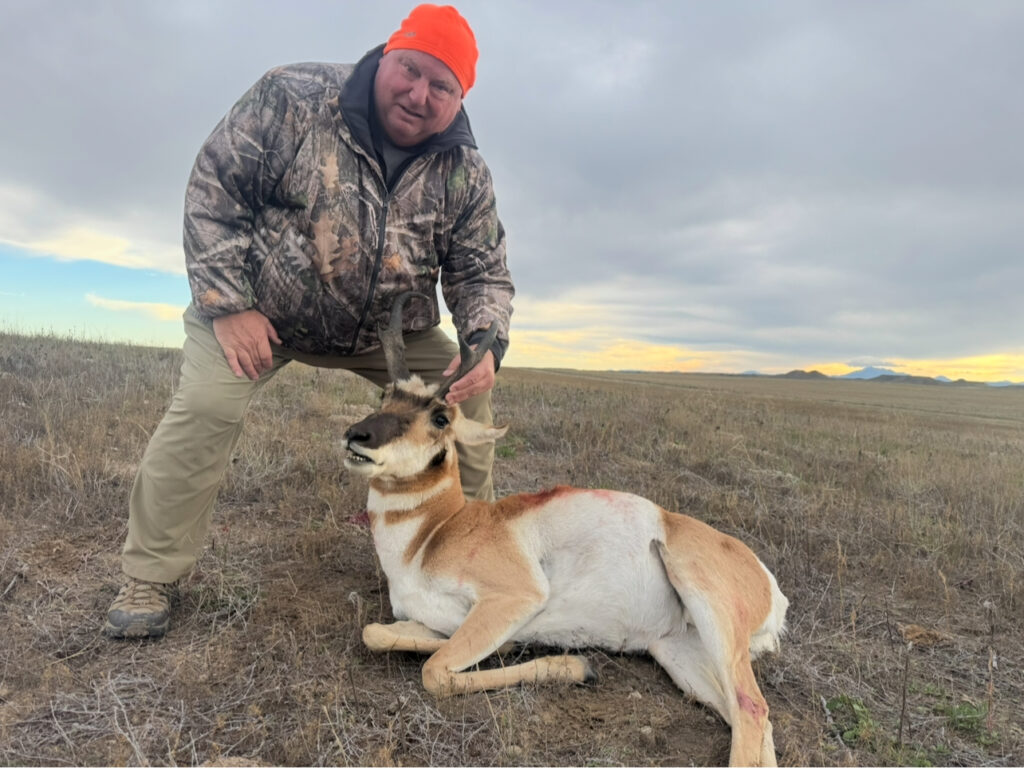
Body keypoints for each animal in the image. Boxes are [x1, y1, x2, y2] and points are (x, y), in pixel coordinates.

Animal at [343, 293, 789, 767]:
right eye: (386, 394)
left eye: (441, 418)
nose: (357, 435)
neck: (436, 532)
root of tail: (767, 583)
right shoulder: (439, 621)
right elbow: (376, 634)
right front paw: (515, 649)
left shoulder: (515, 598)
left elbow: (435, 671)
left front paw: (574, 666)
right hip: (679, 653)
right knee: (751, 719)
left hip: (707, 605)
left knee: (752, 707)